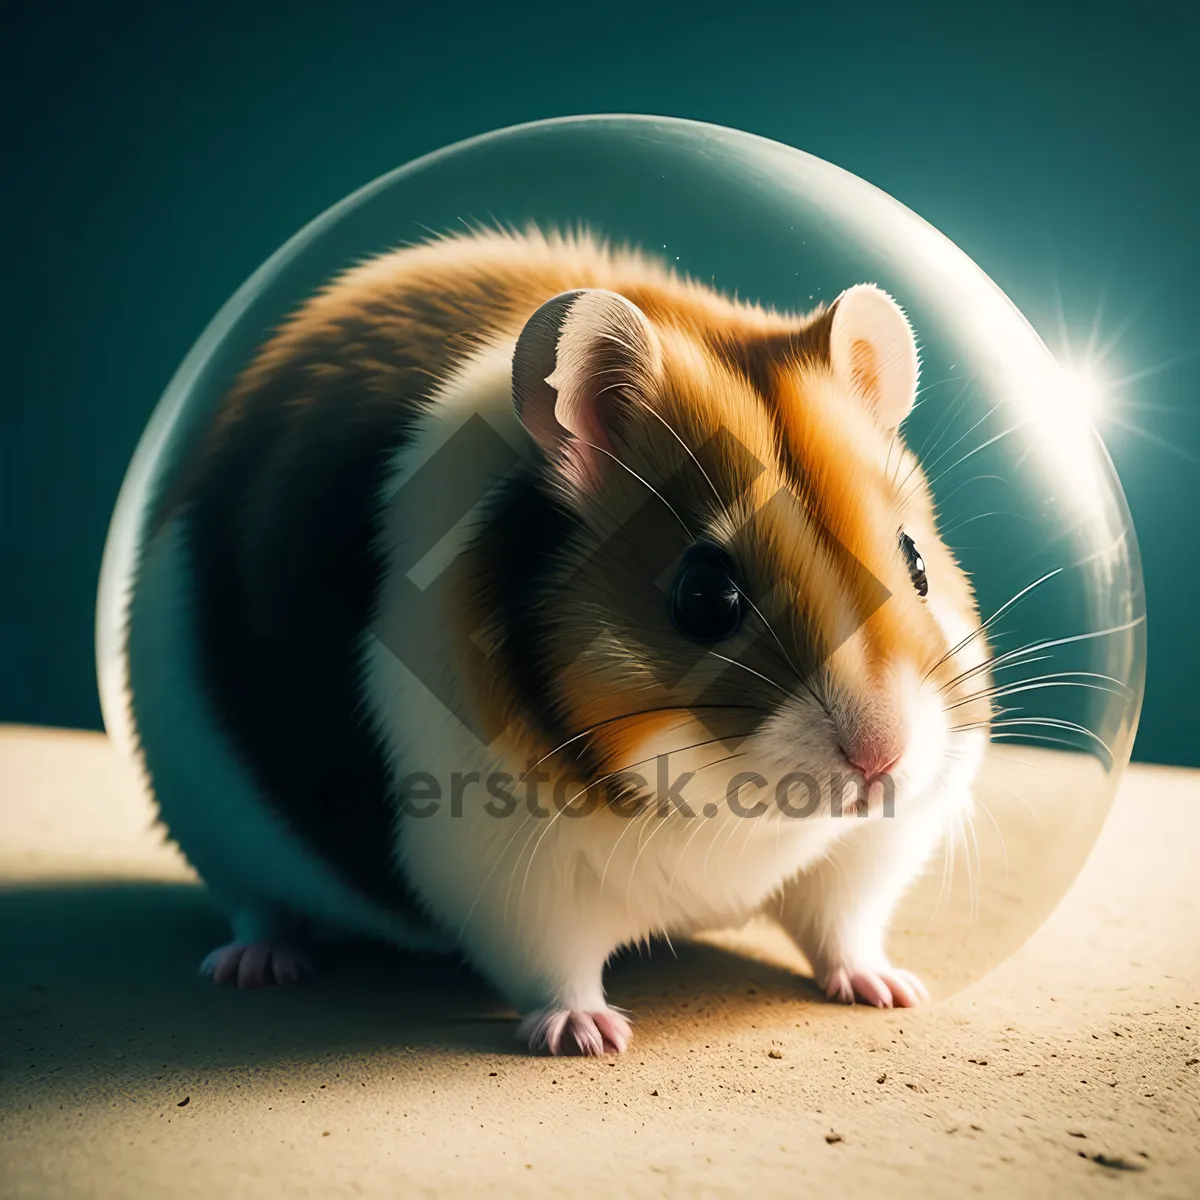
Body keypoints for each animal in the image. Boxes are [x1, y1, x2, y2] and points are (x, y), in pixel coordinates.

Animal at [110, 225, 993, 1051]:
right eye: (705, 598)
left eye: (916, 562)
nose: (882, 760)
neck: (723, 813)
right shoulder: (504, 878)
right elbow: (554, 967)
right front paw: (590, 1037)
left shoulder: (867, 852)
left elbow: (844, 926)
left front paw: (892, 990)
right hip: (216, 824)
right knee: (260, 909)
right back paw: (253, 968)